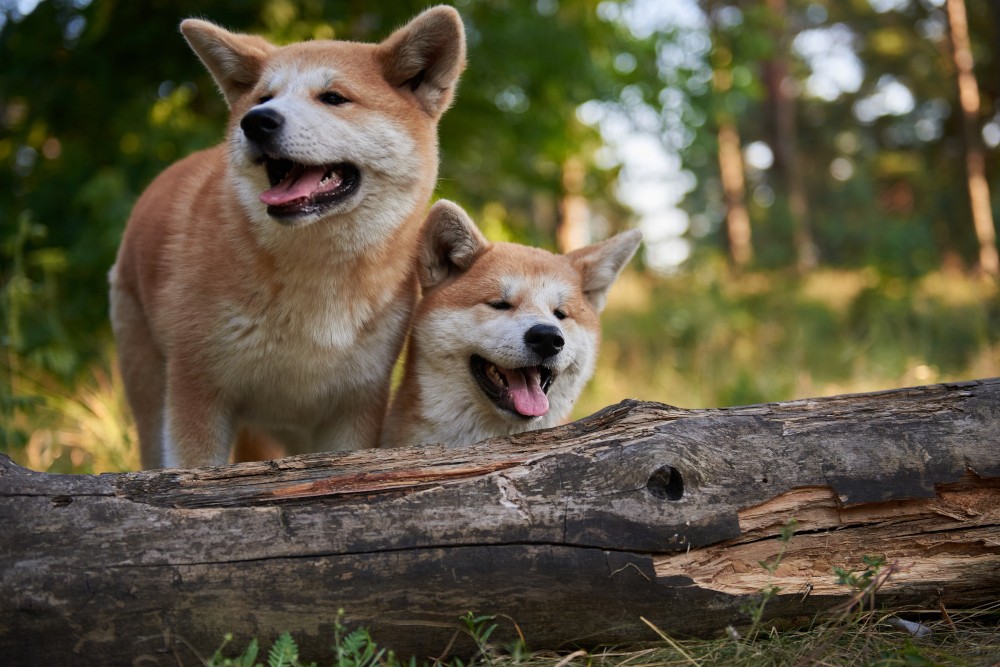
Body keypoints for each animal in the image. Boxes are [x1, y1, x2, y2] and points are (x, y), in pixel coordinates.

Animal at [107, 6, 466, 470]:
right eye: (264, 98)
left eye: (333, 98)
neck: (315, 278)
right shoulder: (197, 388)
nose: (256, 121)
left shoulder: (354, 408)